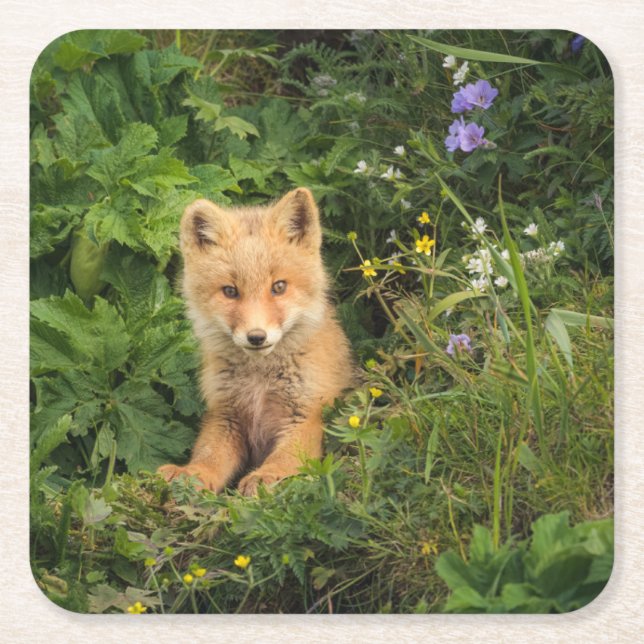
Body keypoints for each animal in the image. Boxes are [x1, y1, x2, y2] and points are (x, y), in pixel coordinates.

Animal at [157, 188, 353, 496]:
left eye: (279, 287)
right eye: (230, 291)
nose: (257, 336)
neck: (260, 382)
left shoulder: (306, 415)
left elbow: (286, 458)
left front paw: (267, 476)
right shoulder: (225, 416)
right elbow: (209, 456)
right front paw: (191, 474)